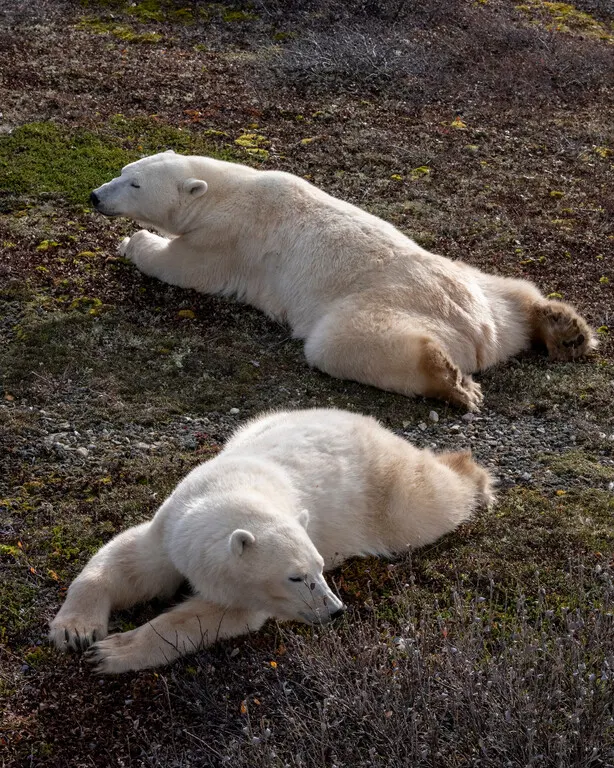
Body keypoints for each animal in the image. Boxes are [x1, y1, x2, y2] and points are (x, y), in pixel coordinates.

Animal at [49, 408, 494, 673]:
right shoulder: (171, 528)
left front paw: (112, 652)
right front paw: (76, 631)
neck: (229, 492)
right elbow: (131, 561)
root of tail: (378, 428)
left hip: (388, 498)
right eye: (296, 577)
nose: (334, 611)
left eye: (320, 568)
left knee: (429, 505)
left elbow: (211, 616)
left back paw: (474, 475)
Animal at [90, 151, 596, 411]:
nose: (95, 196)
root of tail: (479, 331)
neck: (229, 190)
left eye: (134, 184)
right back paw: (564, 328)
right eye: (123, 172)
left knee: (342, 344)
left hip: (376, 306)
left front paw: (133, 241)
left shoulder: (226, 241)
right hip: (478, 288)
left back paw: (449, 380)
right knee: (512, 292)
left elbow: (182, 265)